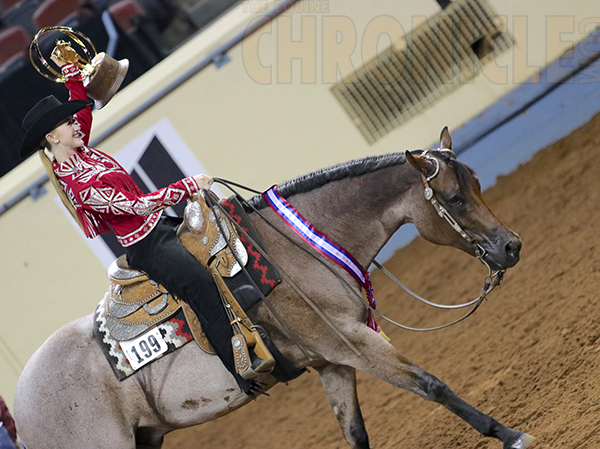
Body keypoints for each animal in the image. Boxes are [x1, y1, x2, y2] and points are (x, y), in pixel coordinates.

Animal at [14, 127, 532, 448]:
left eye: (478, 183)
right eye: (454, 199)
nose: (511, 246)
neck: (299, 246)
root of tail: (20, 403)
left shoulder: (331, 362)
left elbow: (355, 432)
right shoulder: (353, 344)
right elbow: (431, 384)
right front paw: (509, 434)